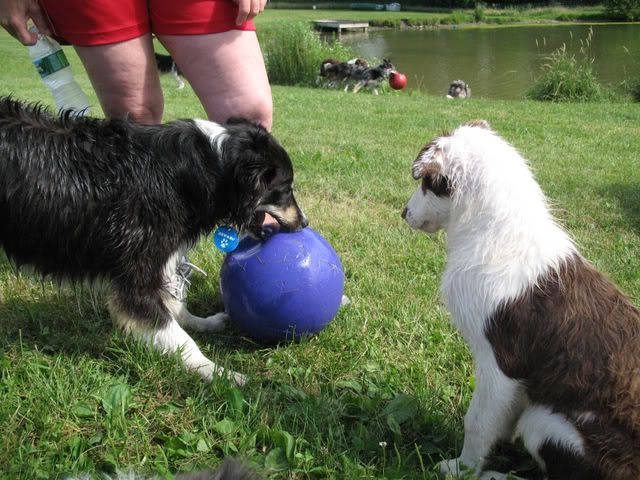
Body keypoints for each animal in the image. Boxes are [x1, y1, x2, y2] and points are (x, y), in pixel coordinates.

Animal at [0, 97, 308, 386]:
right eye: (285, 189)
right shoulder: (136, 274)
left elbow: (173, 304)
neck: (208, 167)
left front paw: (203, 323)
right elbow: (176, 335)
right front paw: (220, 374)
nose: (304, 223)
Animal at [402, 121, 636, 480]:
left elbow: (477, 421)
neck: (493, 230)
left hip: (544, 421)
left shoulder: (499, 364)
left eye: (427, 183)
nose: (404, 213)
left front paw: (462, 468)